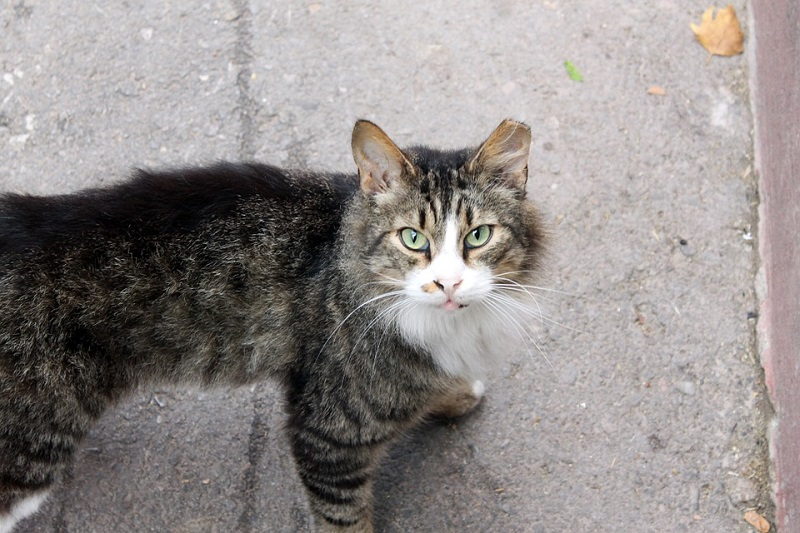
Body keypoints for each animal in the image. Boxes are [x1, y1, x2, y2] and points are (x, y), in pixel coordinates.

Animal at [0, 119, 548, 532]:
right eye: (413, 238)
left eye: (478, 236)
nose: (448, 283)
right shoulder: (327, 437)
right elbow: (345, 519)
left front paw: (453, 394)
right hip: (30, 453)